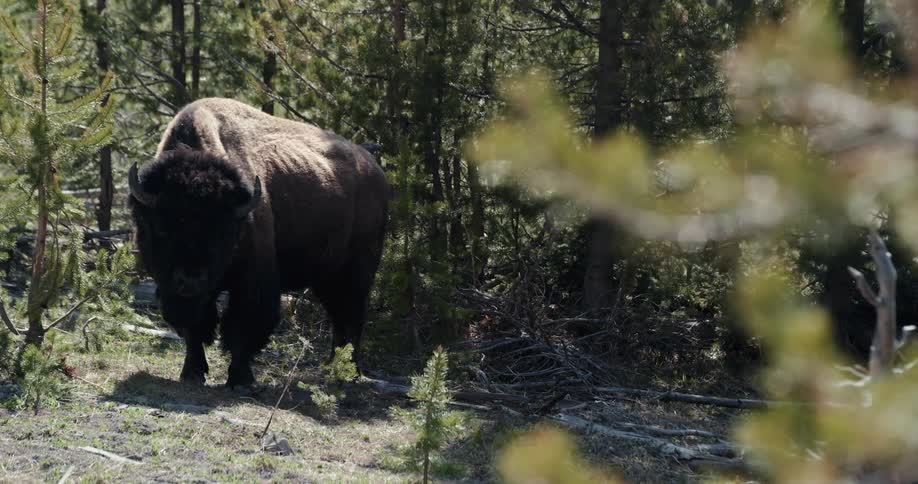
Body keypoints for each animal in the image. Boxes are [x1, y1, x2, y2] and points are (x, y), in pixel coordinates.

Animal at [129, 98, 388, 388]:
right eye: (162, 227)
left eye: (224, 232)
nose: (190, 280)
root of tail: (375, 169)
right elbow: (195, 328)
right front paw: (192, 373)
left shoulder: (253, 280)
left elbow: (244, 327)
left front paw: (241, 379)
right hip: (327, 277)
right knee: (339, 317)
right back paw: (333, 367)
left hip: (357, 270)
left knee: (353, 316)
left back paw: (349, 373)